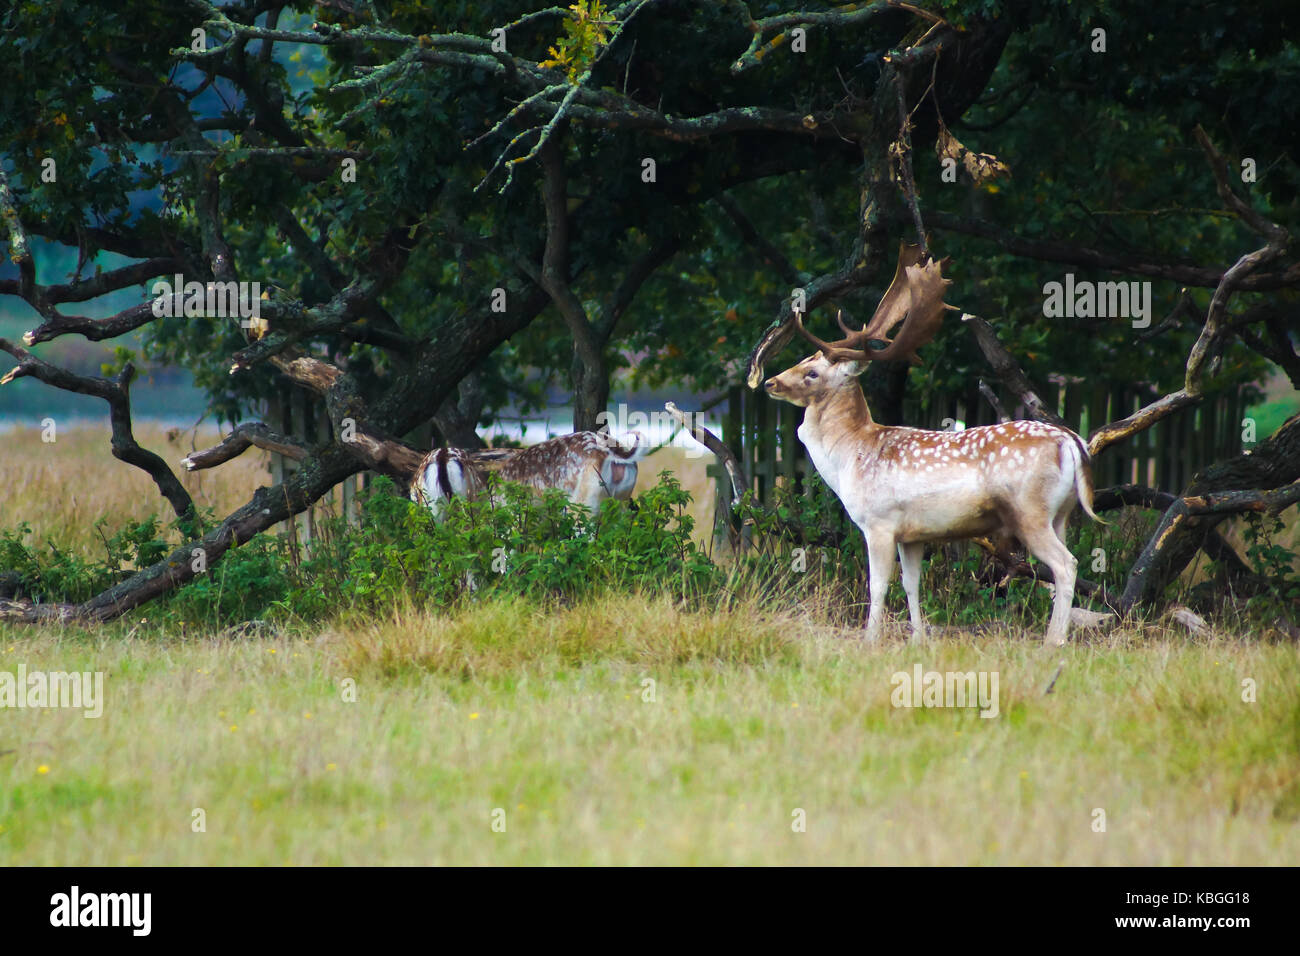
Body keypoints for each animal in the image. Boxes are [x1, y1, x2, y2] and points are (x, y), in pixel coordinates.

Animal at [759, 244, 1102, 650]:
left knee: (1066, 565)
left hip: (1029, 510)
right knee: (1064, 565)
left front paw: (870, 640)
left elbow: (878, 585)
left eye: (812, 372)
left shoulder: (878, 521)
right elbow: (911, 584)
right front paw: (918, 639)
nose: (769, 382)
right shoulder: (913, 534)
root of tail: (1072, 441)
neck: (851, 455)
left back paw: (1053, 642)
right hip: (1061, 512)